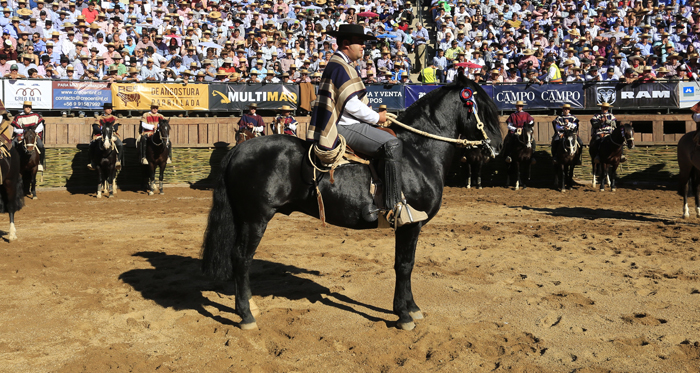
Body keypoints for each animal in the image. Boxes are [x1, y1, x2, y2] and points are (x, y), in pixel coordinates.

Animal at [202, 75, 504, 328]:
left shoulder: (409, 227)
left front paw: (412, 307)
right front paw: (403, 314)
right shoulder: (409, 224)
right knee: (242, 258)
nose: (499, 145)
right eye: (483, 108)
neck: (419, 153)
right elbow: (404, 265)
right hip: (255, 219)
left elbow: (406, 264)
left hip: (245, 218)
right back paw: (246, 315)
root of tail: (240, 148)